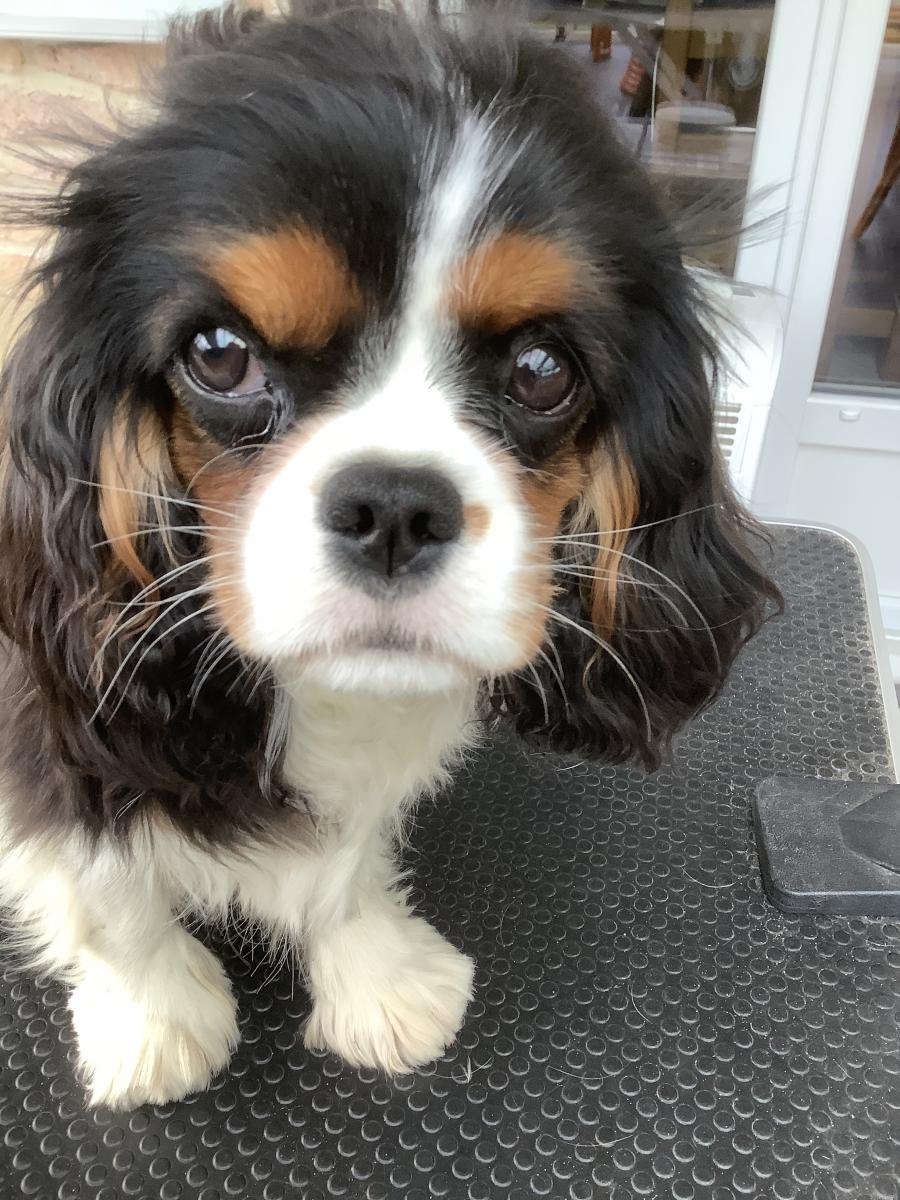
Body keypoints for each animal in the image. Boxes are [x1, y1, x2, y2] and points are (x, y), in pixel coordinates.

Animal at [0, 2, 777, 1104]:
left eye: (543, 369)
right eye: (219, 354)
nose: (396, 508)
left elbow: (350, 855)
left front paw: (374, 974)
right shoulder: (49, 713)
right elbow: (106, 887)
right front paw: (154, 1020)